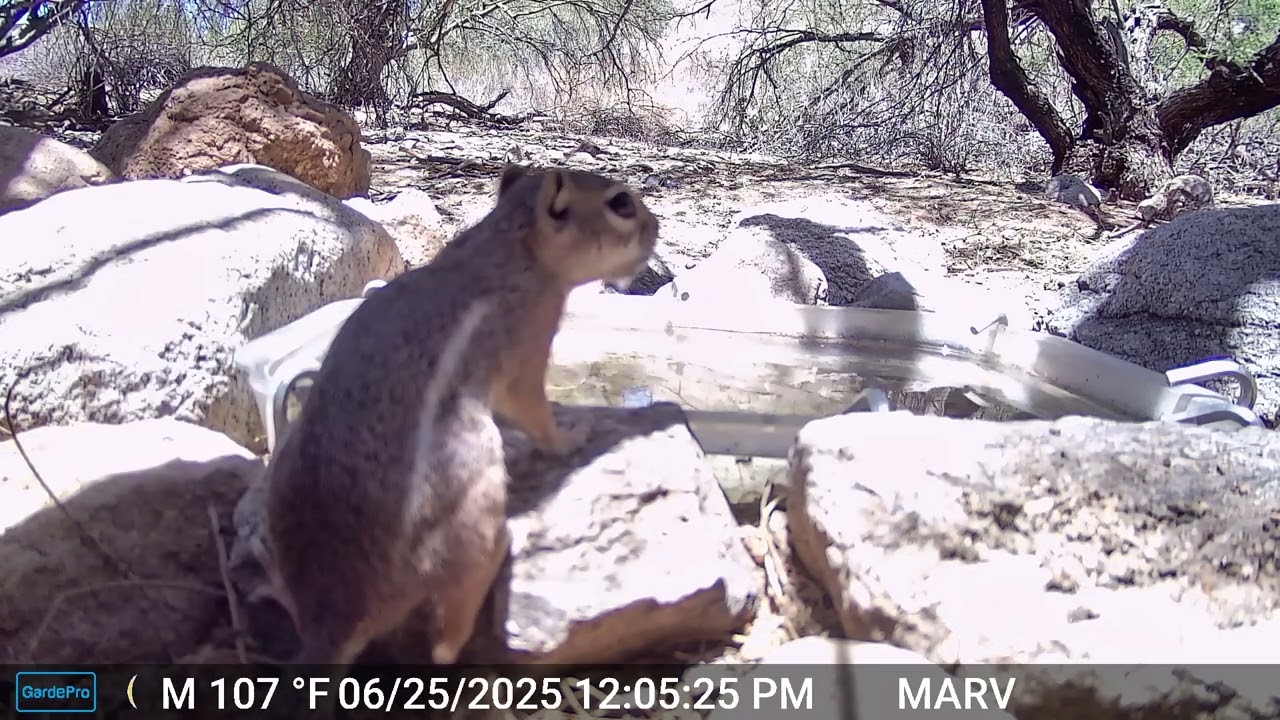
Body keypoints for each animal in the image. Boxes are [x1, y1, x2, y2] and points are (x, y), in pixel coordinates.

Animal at [261, 164, 660, 670]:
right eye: (621, 204)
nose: (656, 228)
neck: (507, 243)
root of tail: (333, 615)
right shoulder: (528, 346)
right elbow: (534, 412)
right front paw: (572, 435)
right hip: (476, 484)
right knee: (446, 640)